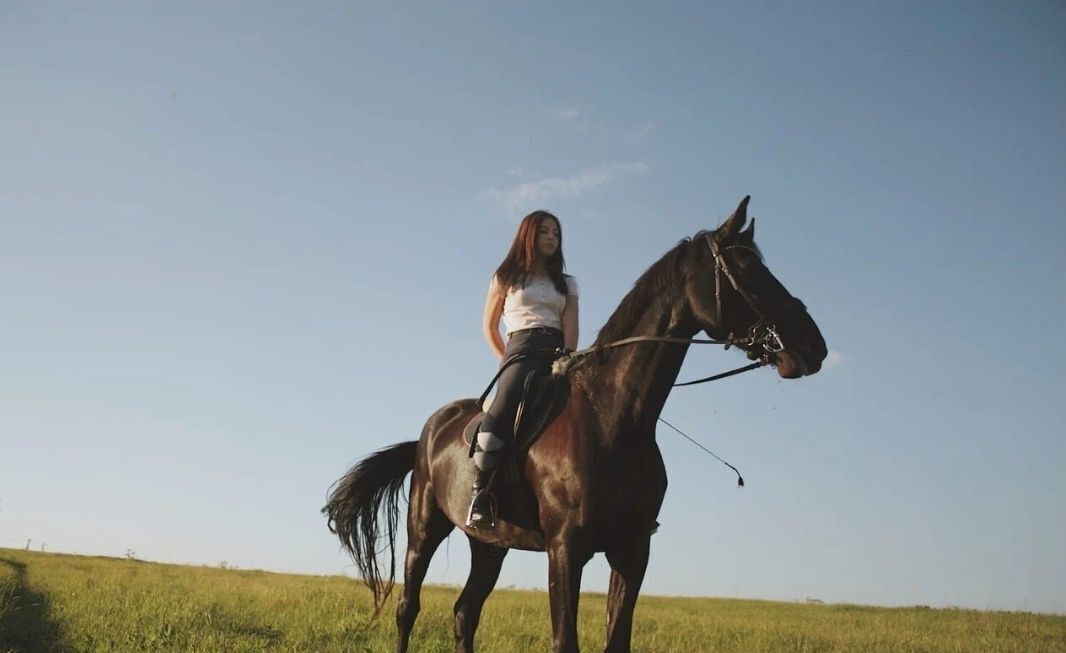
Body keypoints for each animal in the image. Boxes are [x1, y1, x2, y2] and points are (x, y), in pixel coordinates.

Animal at [319, 197, 827, 651]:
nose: (814, 346)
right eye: (746, 268)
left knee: (465, 613)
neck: (614, 419)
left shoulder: (632, 551)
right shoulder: (566, 550)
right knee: (408, 608)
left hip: (490, 544)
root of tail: (429, 431)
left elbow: (616, 641)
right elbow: (566, 641)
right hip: (424, 528)